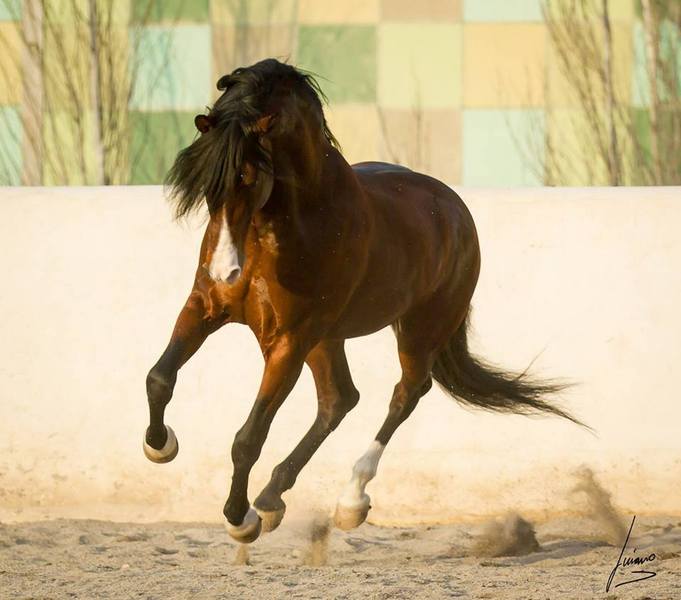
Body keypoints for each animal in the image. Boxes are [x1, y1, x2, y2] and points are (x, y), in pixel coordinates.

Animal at [143, 58, 581, 544]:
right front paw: (160, 446)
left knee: (405, 394)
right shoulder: (205, 308)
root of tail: (455, 210)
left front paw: (241, 520)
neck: (293, 221)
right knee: (340, 399)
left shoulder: (287, 343)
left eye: (247, 177)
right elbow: (159, 378)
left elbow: (249, 437)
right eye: (205, 180)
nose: (226, 271)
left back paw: (349, 500)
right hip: (328, 339)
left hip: (415, 332)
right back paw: (273, 498)